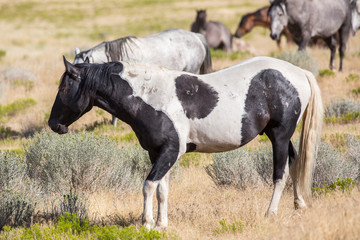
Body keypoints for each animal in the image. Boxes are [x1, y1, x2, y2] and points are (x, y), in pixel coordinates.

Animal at [47, 55, 324, 229]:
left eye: (63, 88)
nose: (53, 124)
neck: (152, 97)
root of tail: (298, 72)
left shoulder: (171, 151)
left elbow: (148, 185)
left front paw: (146, 223)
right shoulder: (158, 153)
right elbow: (162, 189)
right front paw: (162, 224)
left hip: (279, 135)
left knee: (280, 173)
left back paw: (271, 213)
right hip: (279, 136)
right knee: (295, 162)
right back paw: (299, 205)